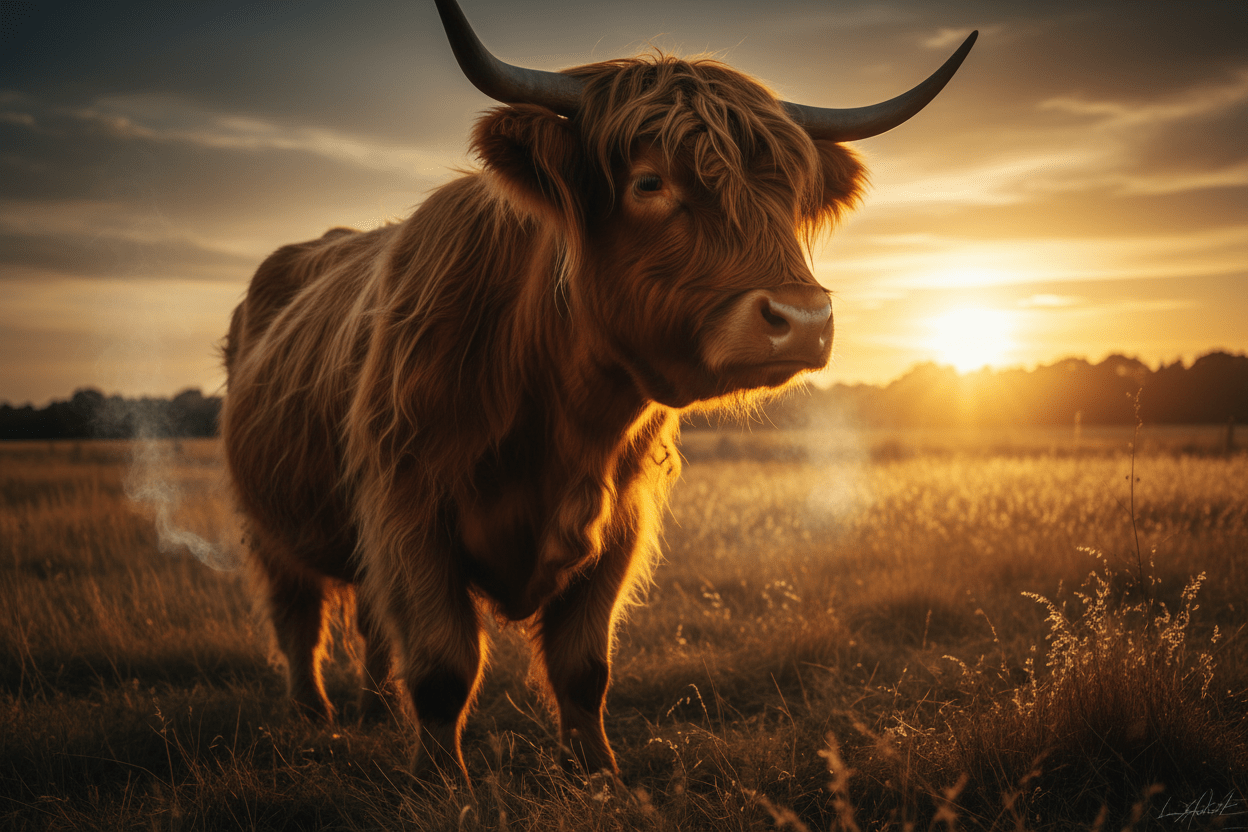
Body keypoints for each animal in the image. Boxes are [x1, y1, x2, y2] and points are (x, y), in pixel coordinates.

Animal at [221, 0, 975, 782]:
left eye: (791, 193)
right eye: (648, 182)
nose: (802, 320)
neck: (558, 417)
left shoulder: (620, 522)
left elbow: (583, 666)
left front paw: (597, 773)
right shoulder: (408, 508)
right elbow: (442, 664)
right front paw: (443, 782)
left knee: (369, 623)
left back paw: (372, 711)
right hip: (268, 523)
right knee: (298, 618)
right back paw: (315, 716)